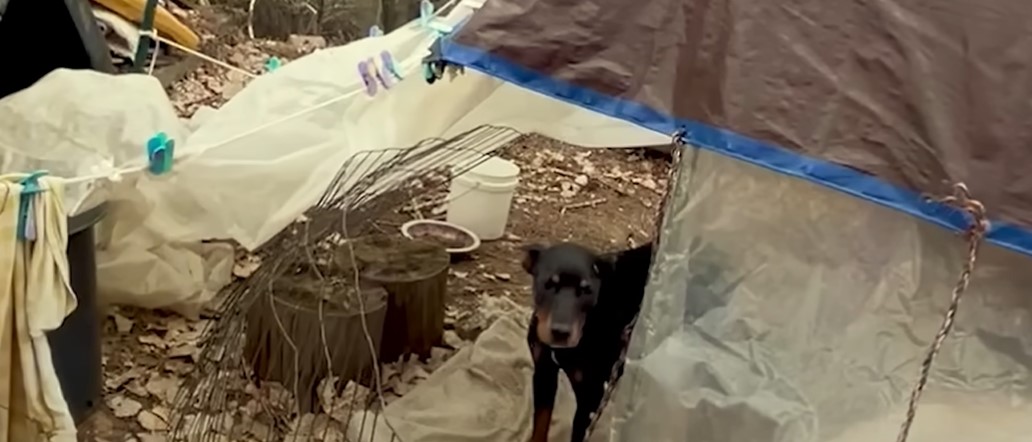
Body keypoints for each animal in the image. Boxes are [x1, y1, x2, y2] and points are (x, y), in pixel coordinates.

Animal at [524, 241, 652, 442]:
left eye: (586, 290)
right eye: (549, 284)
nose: (561, 332)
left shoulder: (591, 398)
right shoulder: (544, 372)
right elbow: (540, 425)